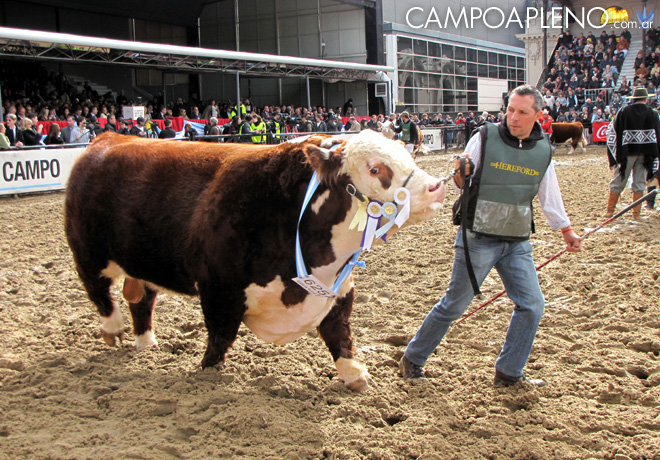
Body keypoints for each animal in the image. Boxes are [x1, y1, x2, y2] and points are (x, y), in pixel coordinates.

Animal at [65, 130, 448, 392]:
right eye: (375, 168)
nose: (436, 187)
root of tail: (110, 138)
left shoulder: (339, 288)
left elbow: (339, 332)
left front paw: (354, 375)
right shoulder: (219, 290)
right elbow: (220, 338)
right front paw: (207, 374)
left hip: (141, 263)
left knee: (142, 300)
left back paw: (147, 344)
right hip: (87, 252)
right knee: (100, 294)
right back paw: (113, 330)